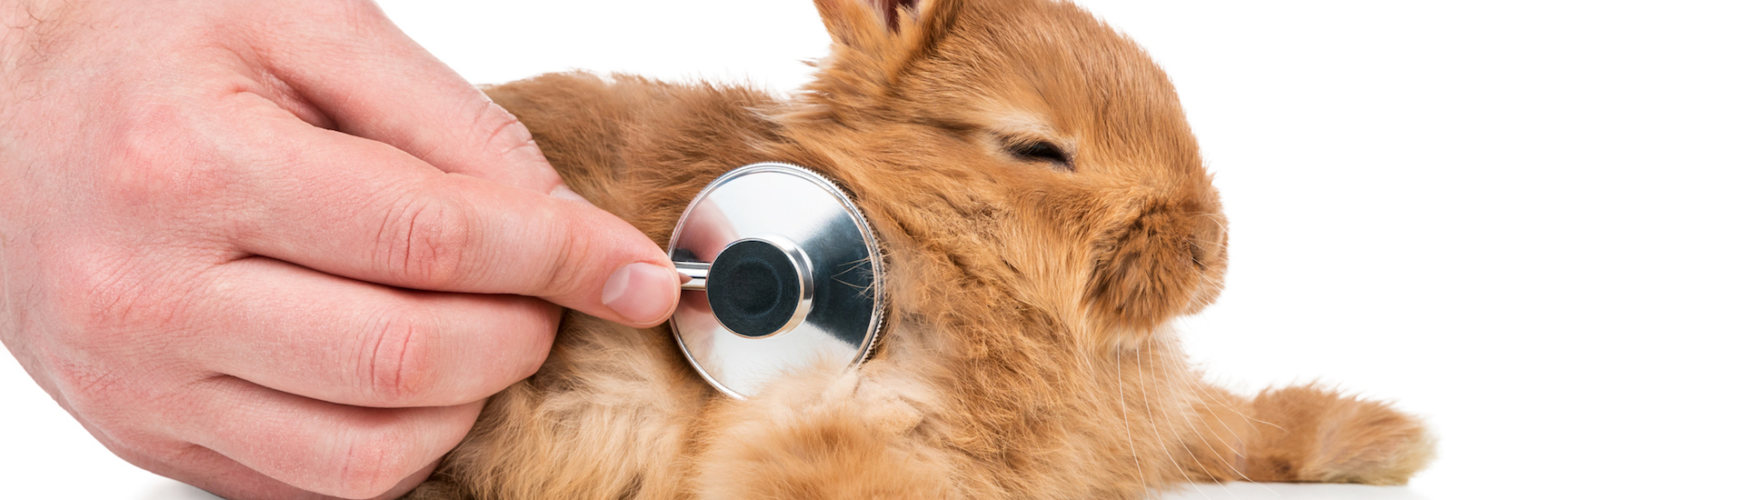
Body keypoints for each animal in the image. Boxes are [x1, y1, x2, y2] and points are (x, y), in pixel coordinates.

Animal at [409, 0, 1434, 497]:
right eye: (1034, 148)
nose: (1207, 251)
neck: (933, 241)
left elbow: (1240, 427)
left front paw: (1385, 441)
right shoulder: (837, 420)